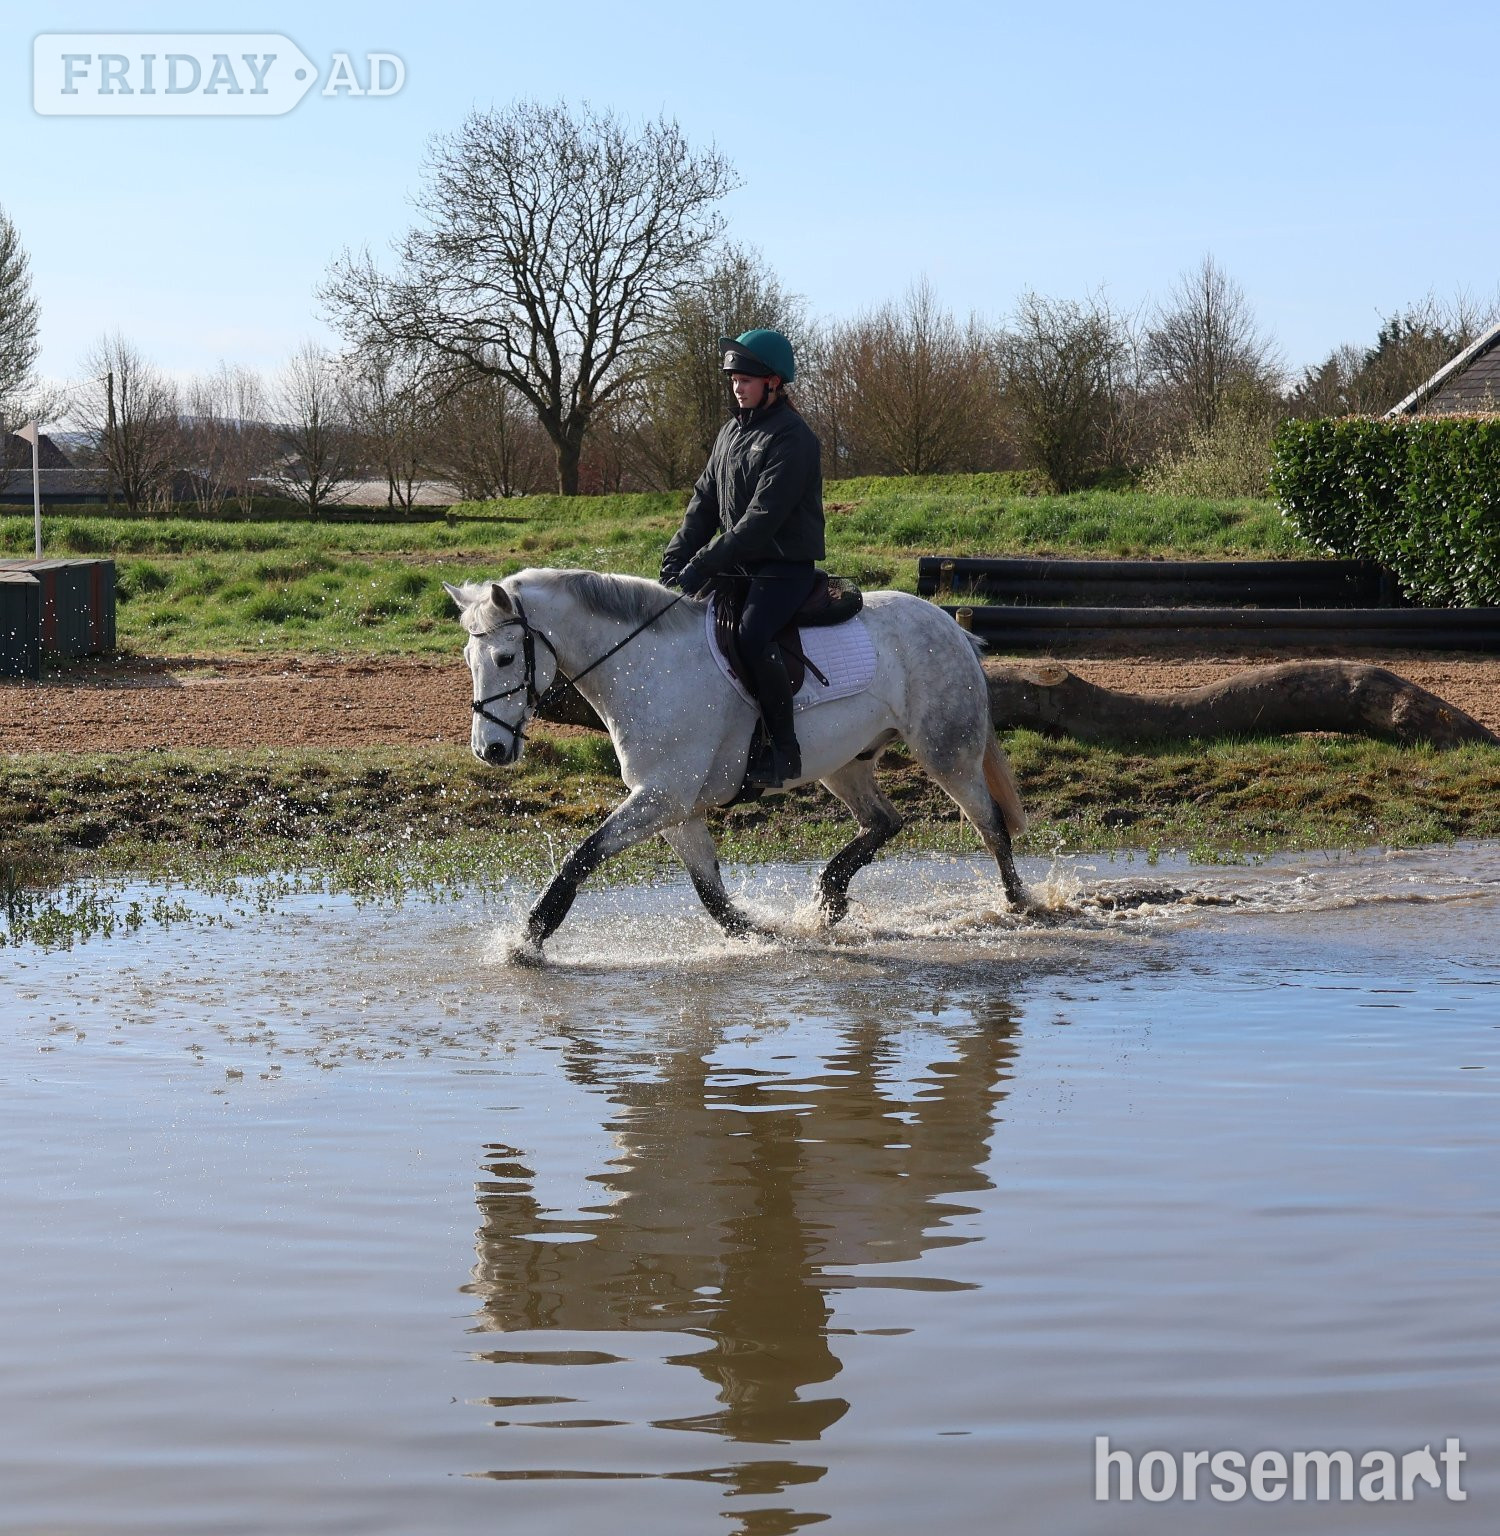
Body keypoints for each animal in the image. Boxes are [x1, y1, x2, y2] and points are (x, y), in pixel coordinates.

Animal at [445, 568, 1028, 960]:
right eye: (471, 660)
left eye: (505, 658)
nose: (489, 751)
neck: (646, 669)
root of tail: (952, 627)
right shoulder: (673, 809)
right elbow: (711, 894)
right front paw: (763, 936)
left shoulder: (662, 798)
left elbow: (581, 857)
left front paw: (528, 941)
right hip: (845, 765)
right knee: (884, 822)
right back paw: (830, 898)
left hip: (946, 753)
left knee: (991, 826)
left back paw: (1019, 907)